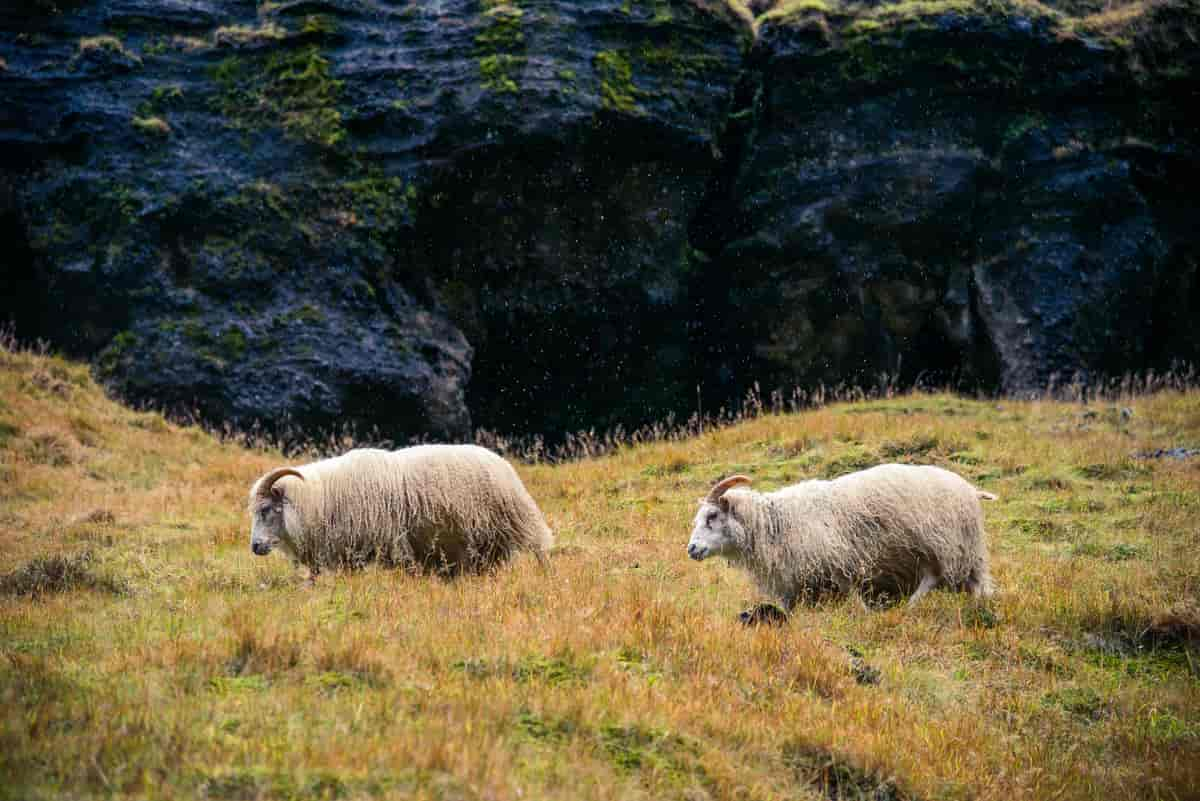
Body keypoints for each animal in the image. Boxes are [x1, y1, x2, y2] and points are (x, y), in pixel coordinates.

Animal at [249, 443, 556, 582]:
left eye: (265, 509)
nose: (255, 547)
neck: (321, 498)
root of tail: (502, 462)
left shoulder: (388, 542)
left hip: (517, 522)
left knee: (540, 550)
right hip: (484, 542)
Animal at [686, 462, 993, 606]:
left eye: (712, 516)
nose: (691, 549)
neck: (777, 523)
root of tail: (970, 489)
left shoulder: (836, 561)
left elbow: (852, 594)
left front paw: (865, 614)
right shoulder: (794, 579)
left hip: (942, 545)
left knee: (932, 578)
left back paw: (910, 606)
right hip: (963, 551)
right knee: (977, 585)